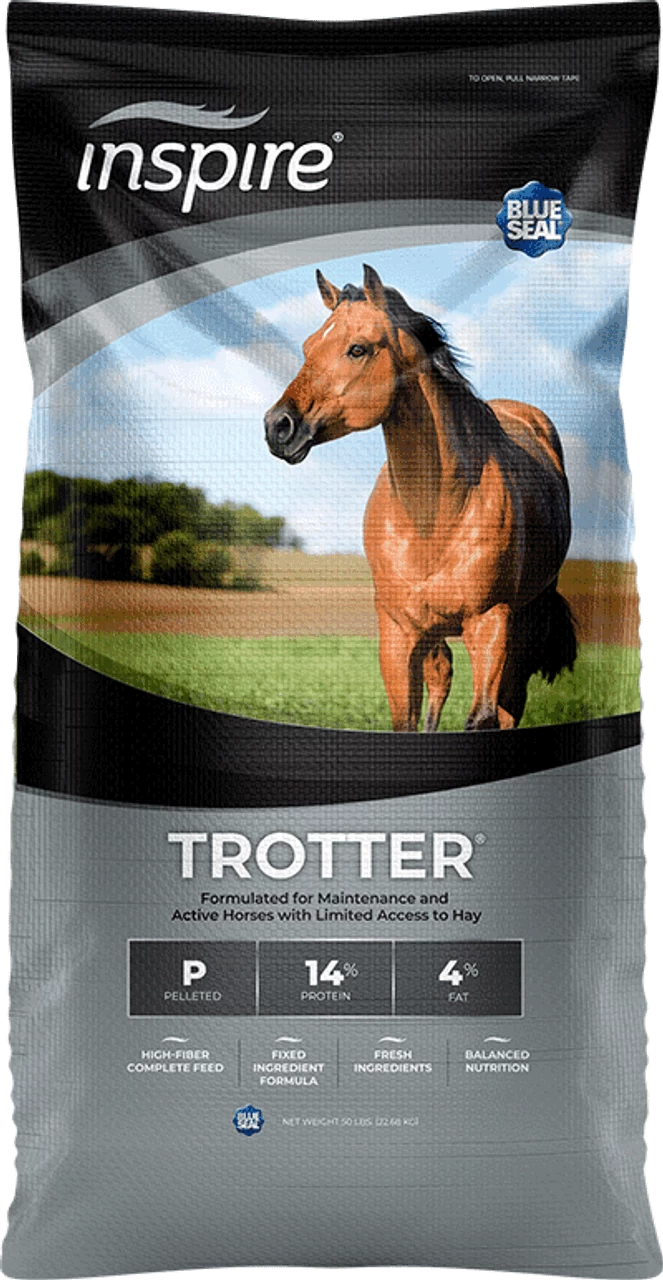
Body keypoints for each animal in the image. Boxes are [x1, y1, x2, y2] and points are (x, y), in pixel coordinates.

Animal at [264, 264, 576, 732]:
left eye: (357, 349)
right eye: (308, 346)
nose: (278, 426)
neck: (434, 514)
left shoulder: (490, 623)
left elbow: (483, 716)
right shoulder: (399, 630)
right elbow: (407, 717)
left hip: (527, 619)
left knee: (510, 701)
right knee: (442, 677)